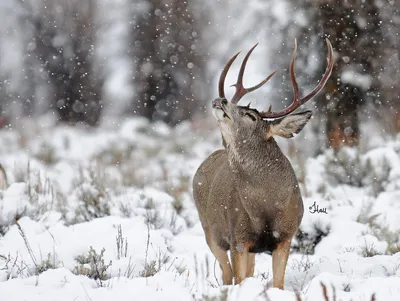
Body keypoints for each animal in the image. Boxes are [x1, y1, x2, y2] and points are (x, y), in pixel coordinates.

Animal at [192, 38, 332, 288]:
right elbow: (238, 278)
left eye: (251, 116)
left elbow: (278, 283)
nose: (220, 100)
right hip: (209, 229)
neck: (266, 207)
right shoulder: (238, 236)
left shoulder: (286, 236)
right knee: (226, 274)